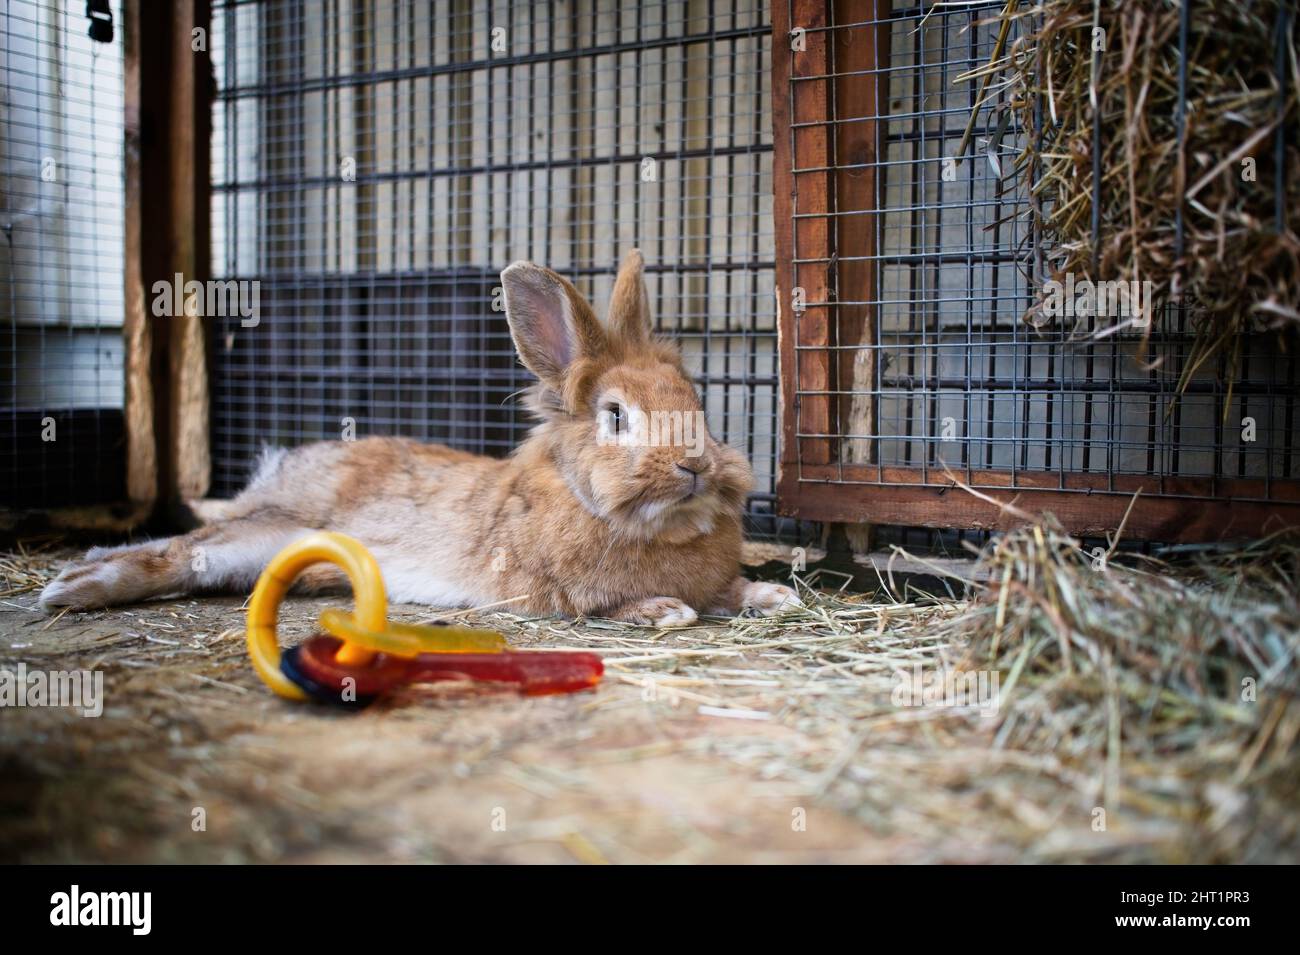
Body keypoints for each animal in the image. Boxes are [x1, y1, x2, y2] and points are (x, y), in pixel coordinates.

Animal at [39, 250, 801, 627]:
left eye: (695, 401)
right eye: (615, 416)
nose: (696, 466)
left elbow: (730, 590)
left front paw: (771, 597)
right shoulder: (552, 593)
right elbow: (622, 607)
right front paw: (667, 609)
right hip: (272, 527)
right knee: (176, 552)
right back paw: (71, 587)